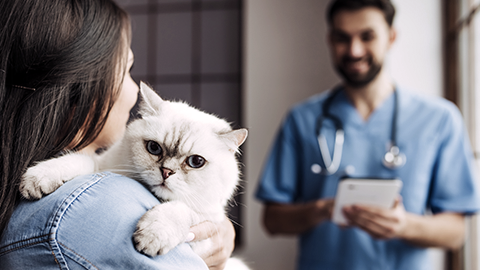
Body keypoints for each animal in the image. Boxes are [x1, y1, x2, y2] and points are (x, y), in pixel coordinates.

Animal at [17, 82, 251, 270]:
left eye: (195, 162)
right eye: (154, 148)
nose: (166, 172)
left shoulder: (207, 223)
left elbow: (180, 210)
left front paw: (151, 236)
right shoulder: (103, 166)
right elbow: (77, 160)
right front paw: (36, 180)